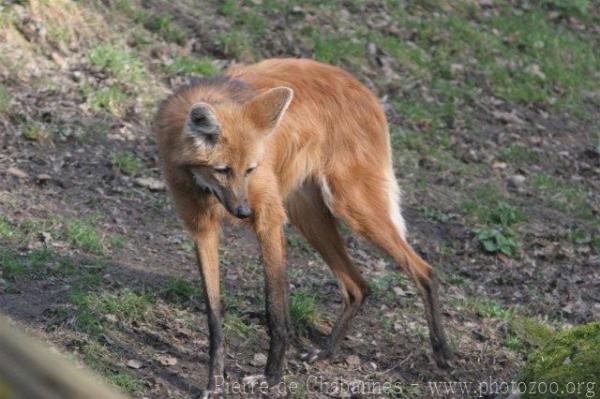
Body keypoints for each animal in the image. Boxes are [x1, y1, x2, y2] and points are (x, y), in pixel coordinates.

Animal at [154, 57, 450, 396]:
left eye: (250, 169)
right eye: (223, 170)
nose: (243, 212)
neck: (205, 189)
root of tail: (365, 89)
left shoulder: (268, 219)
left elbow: (275, 308)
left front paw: (271, 377)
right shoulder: (202, 229)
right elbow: (214, 315)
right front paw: (215, 381)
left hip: (350, 206)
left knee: (424, 271)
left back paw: (443, 353)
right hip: (307, 214)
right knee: (357, 286)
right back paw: (326, 351)